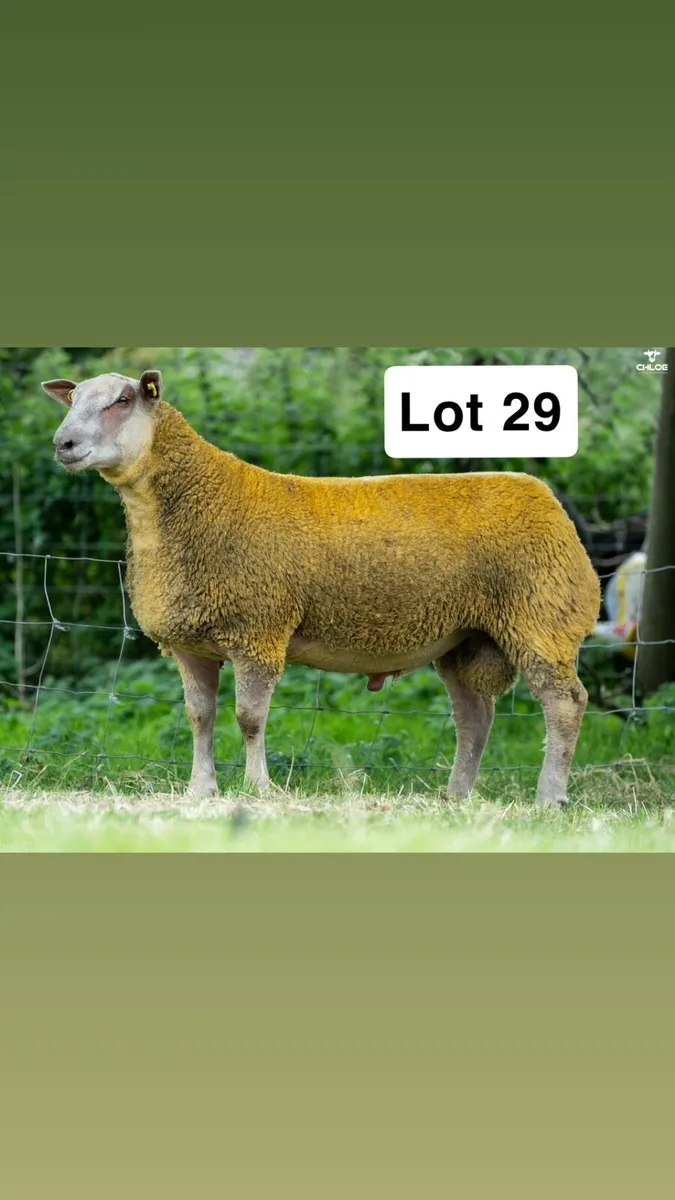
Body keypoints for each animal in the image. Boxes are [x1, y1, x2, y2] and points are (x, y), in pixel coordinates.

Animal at [42, 369, 601, 806]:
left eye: (122, 400)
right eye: (73, 399)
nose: (61, 444)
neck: (196, 504)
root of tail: (543, 496)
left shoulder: (259, 630)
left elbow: (249, 717)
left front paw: (258, 788)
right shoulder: (189, 644)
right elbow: (200, 717)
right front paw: (201, 789)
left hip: (541, 617)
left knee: (565, 704)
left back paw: (550, 797)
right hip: (463, 639)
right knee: (475, 718)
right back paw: (457, 796)